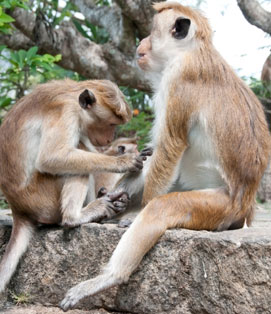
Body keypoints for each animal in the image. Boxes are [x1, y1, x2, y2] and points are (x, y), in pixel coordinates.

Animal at [0, 78, 149, 292]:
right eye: (111, 123)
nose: (110, 138)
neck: (71, 96)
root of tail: (18, 209)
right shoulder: (65, 112)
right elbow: (52, 157)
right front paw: (125, 162)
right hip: (43, 200)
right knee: (77, 154)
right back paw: (77, 216)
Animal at [60, 2, 271, 310]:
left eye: (151, 32)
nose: (141, 41)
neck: (192, 51)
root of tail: (245, 205)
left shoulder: (178, 81)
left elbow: (170, 146)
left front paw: (134, 213)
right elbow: (152, 155)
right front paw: (118, 195)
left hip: (218, 207)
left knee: (161, 207)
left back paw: (110, 276)